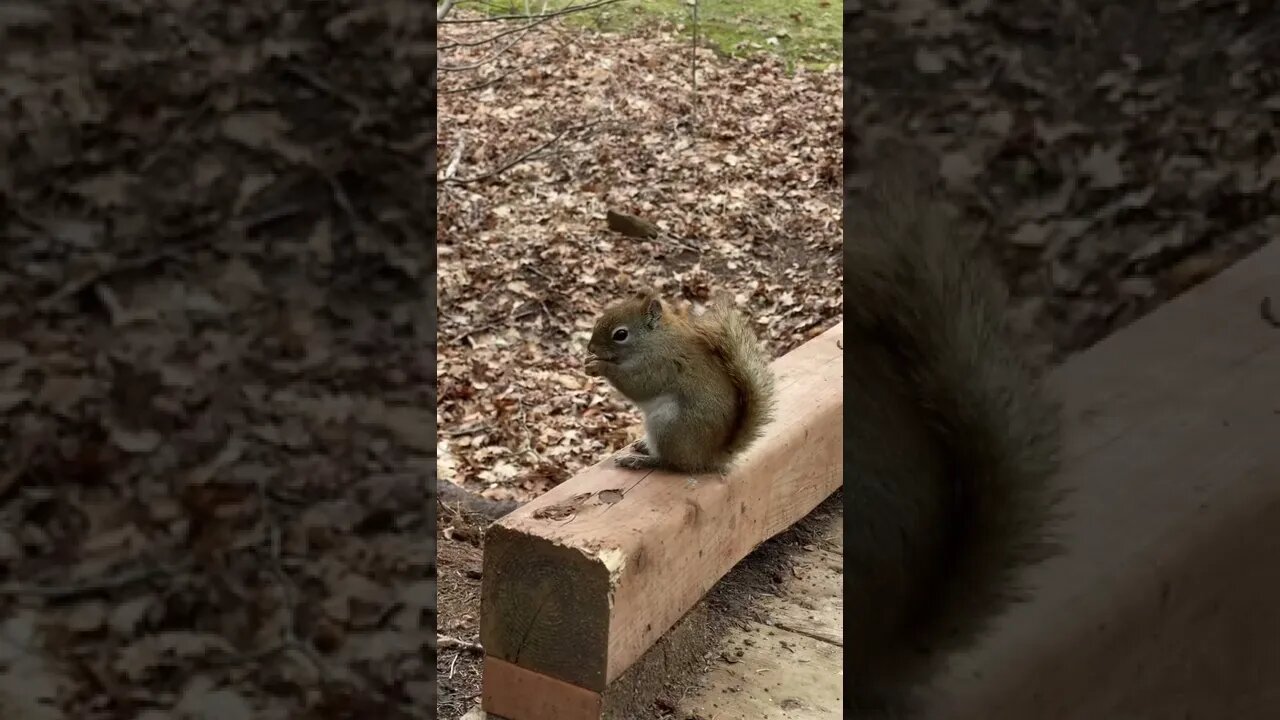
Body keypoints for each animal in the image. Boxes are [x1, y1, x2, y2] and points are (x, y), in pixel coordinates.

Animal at [583, 290, 776, 474]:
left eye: (621, 334)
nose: (590, 347)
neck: (655, 340)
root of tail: (708, 457)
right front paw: (589, 361)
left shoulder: (660, 366)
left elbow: (638, 385)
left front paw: (599, 366)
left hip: (668, 424)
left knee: (669, 463)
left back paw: (638, 460)